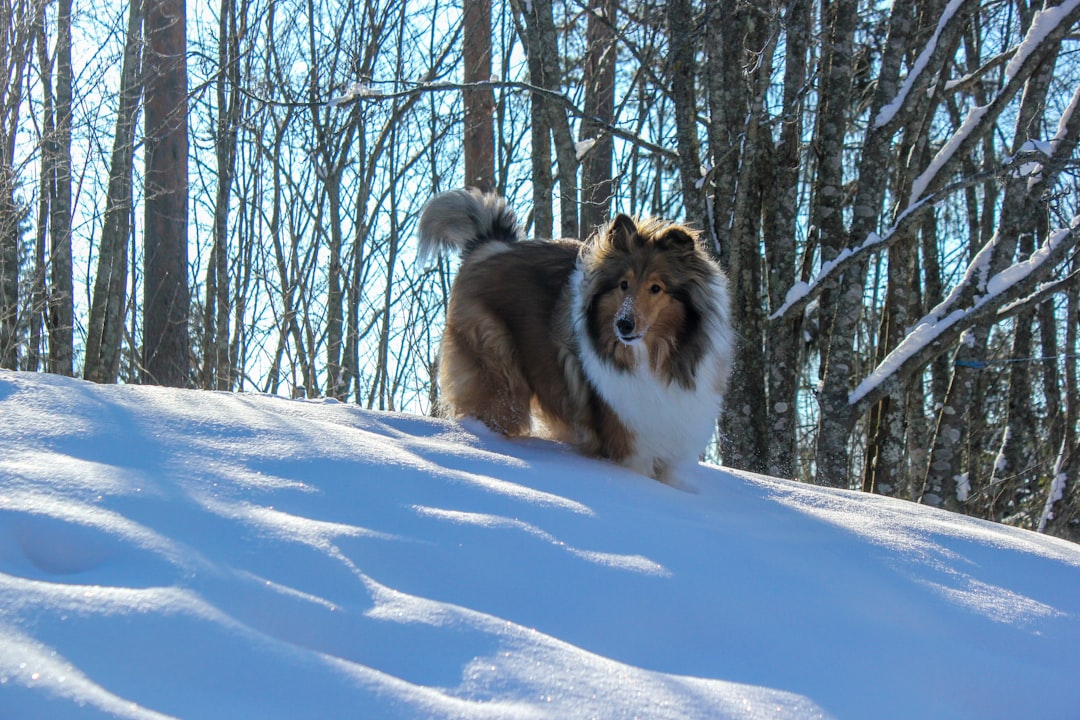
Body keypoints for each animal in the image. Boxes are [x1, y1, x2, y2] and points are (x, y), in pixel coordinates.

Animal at [414, 188, 734, 483]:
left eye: (656, 288)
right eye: (623, 284)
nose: (623, 325)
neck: (653, 360)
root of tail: (492, 245)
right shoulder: (629, 446)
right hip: (498, 368)